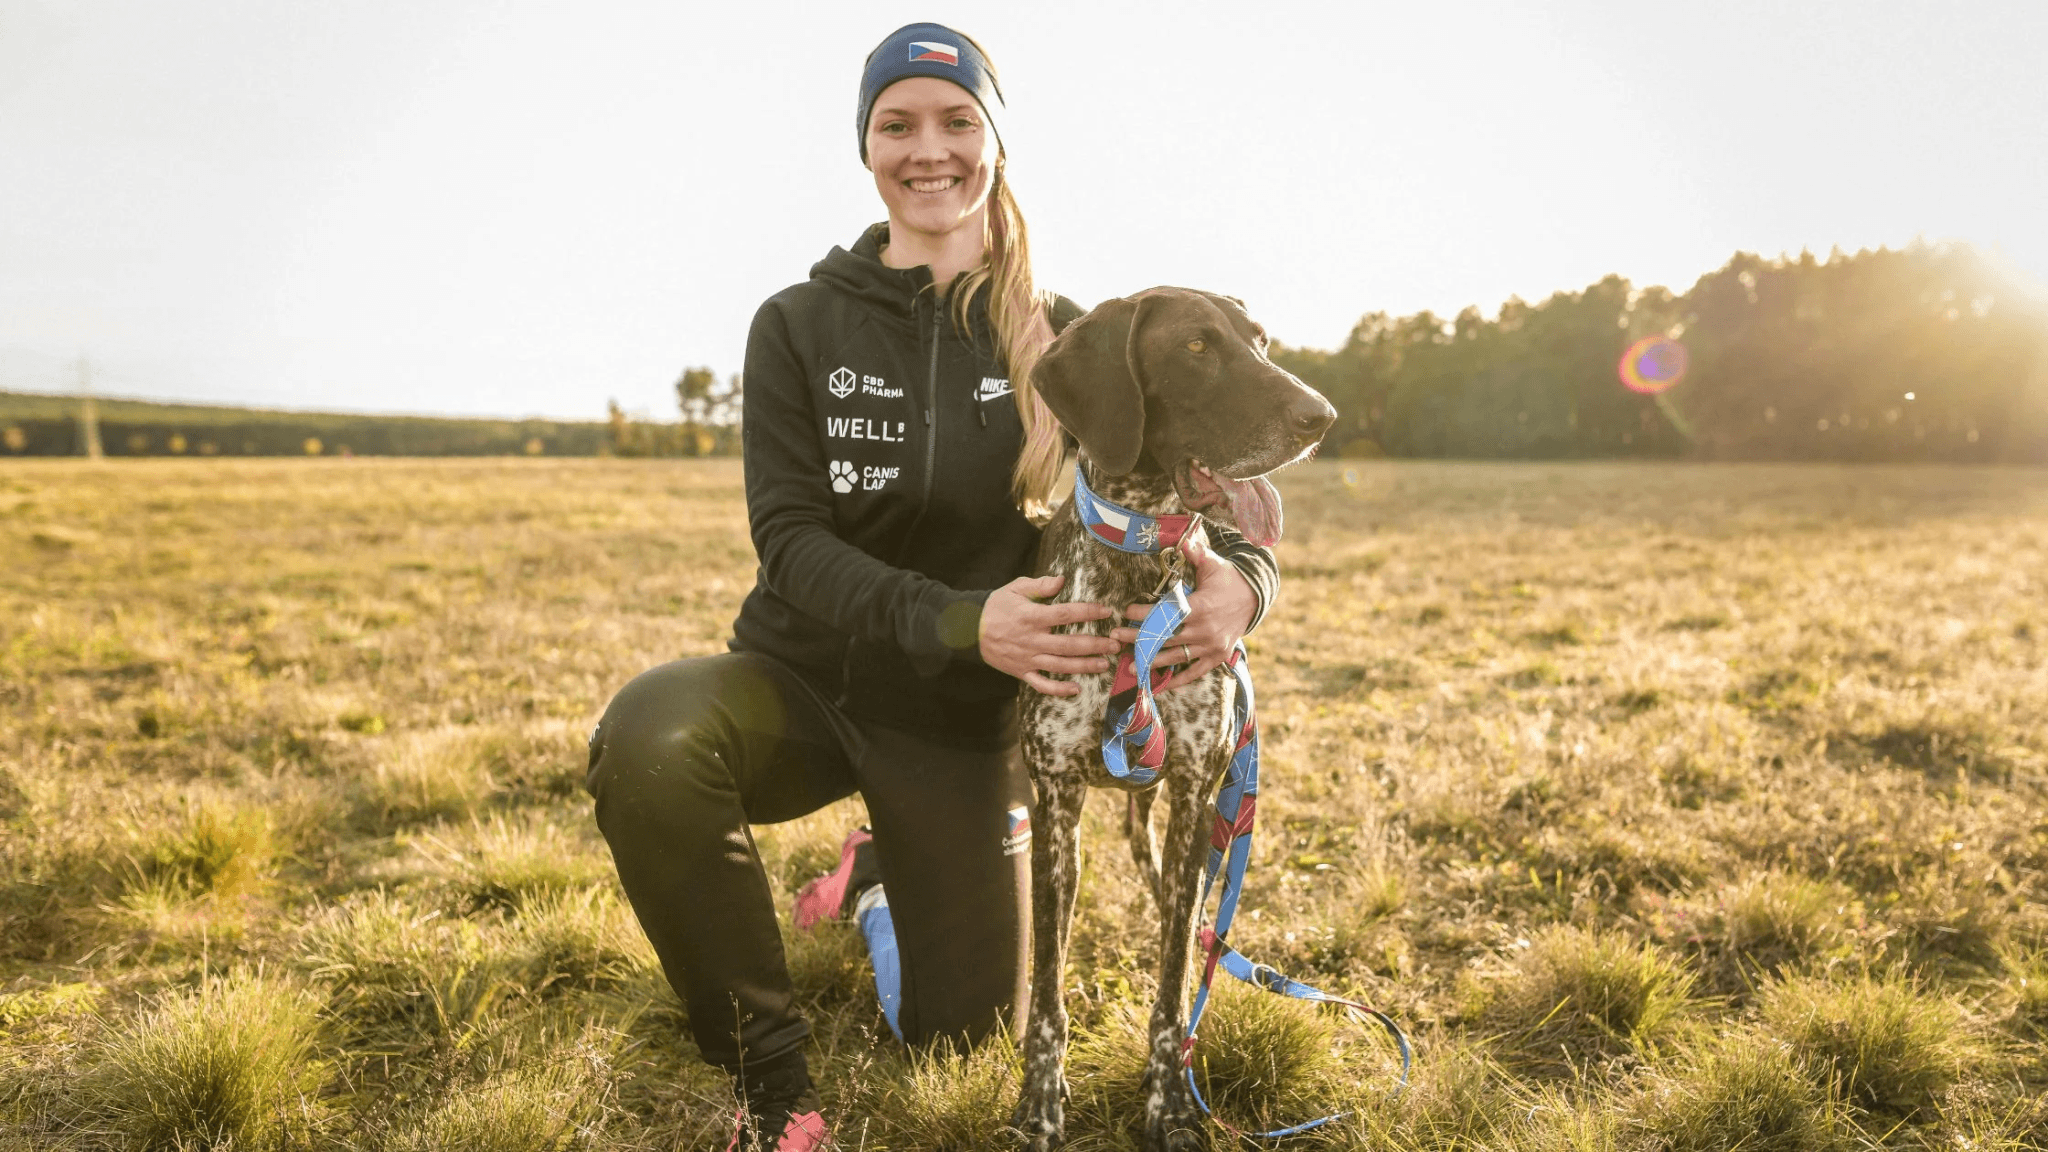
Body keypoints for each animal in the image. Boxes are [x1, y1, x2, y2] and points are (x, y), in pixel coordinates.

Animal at [1011, 289, 1335, 1147]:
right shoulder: (1055, 803)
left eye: (1260, 341)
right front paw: (1040, 1105)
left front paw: (1169, 1104)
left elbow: (1171, 983)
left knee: (1180, 922)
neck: (1138, 565)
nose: (1321, 417)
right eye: (1195, 346)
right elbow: (1048, 987)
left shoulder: (1196, 789)